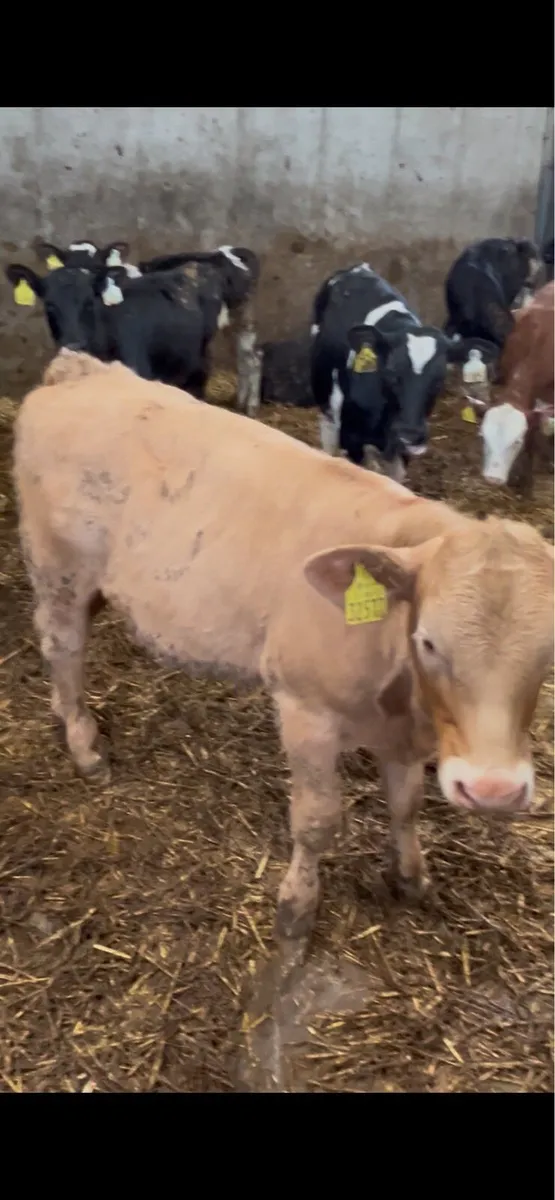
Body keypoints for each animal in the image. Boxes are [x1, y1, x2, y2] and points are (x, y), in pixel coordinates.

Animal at [13, 349, 554, 944]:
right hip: (59, 565)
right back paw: (84, 744)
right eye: (427, 640)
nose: (493, 792)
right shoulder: (305, 709)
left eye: (548, 652)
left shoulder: (406, 734)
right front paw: (297, 908)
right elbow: (317, 822)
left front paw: (412, 878)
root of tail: (82, 369)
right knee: (62, 643)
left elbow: (406, 805)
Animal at [310, 263, 498, 481]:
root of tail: (358, 268)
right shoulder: (351, 439)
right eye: (391, 372)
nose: (410, 433)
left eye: (439, 379)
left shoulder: (402, 451)